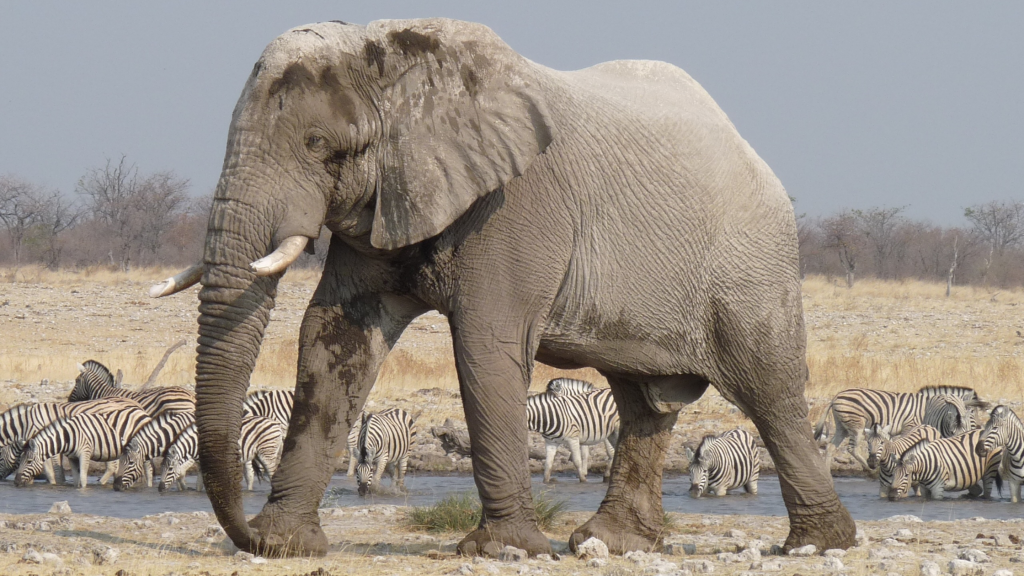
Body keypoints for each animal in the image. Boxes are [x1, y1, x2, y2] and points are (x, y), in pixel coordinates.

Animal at [151, 16, 856, 557]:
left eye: (319, 144)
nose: (243, 533)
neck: (396, 57)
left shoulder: (516, 203)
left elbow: (487, 343)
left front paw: (506, 551)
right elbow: (335, 337)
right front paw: (285, 547)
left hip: (753, 265)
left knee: (769, 392)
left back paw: (818, 545)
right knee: (644, 401)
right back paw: (610, 543)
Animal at [815, 383, 983, 469]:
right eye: (971, 413)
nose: (977, 427)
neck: (931, 409)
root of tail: (836, 397)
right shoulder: (910, 426)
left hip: (842, 426)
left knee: (830, 447)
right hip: (856, 424)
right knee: (852, 448)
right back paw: (870, 470)